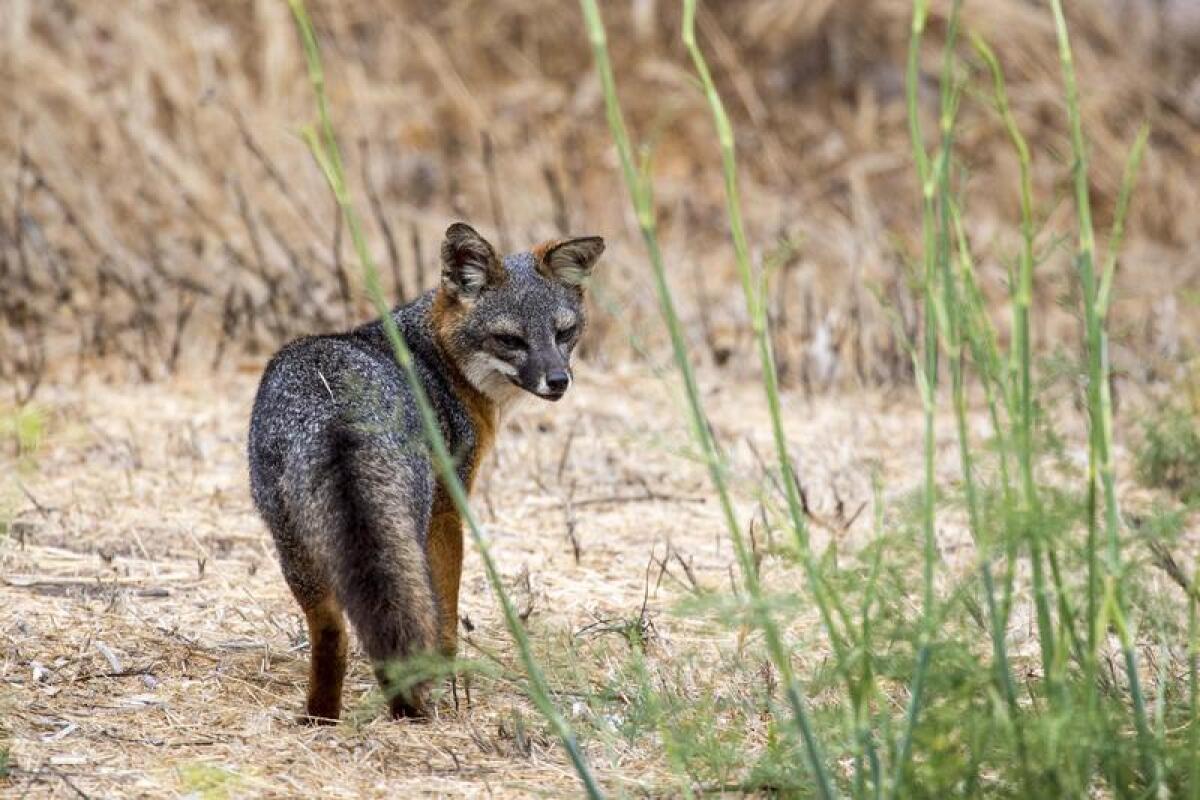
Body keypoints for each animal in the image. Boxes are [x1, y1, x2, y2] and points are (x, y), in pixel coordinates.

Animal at [248, 221, 604, 724]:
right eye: (509, 340)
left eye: (564, 332)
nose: (558, 381)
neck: (435, 357)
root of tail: (334, 410)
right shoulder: (449, 508)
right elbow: (446, 611)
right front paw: (450, 675)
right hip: (402, 525)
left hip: (293, 545)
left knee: (332, 632)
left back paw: (321, 717)